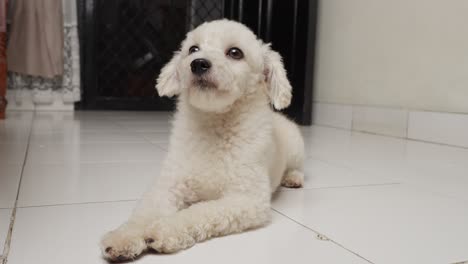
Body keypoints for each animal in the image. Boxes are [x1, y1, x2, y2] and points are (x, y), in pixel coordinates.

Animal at [101, 19, 306, 262]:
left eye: (235, 52)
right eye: (193, 49)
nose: (198, 63)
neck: (214, 127)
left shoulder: (247, 199)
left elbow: (199, 212)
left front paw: (165, 229)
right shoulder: (169, 186)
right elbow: (144, 212)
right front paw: (125, 237)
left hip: (296, 147)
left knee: (298, 167)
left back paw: (293, 178)